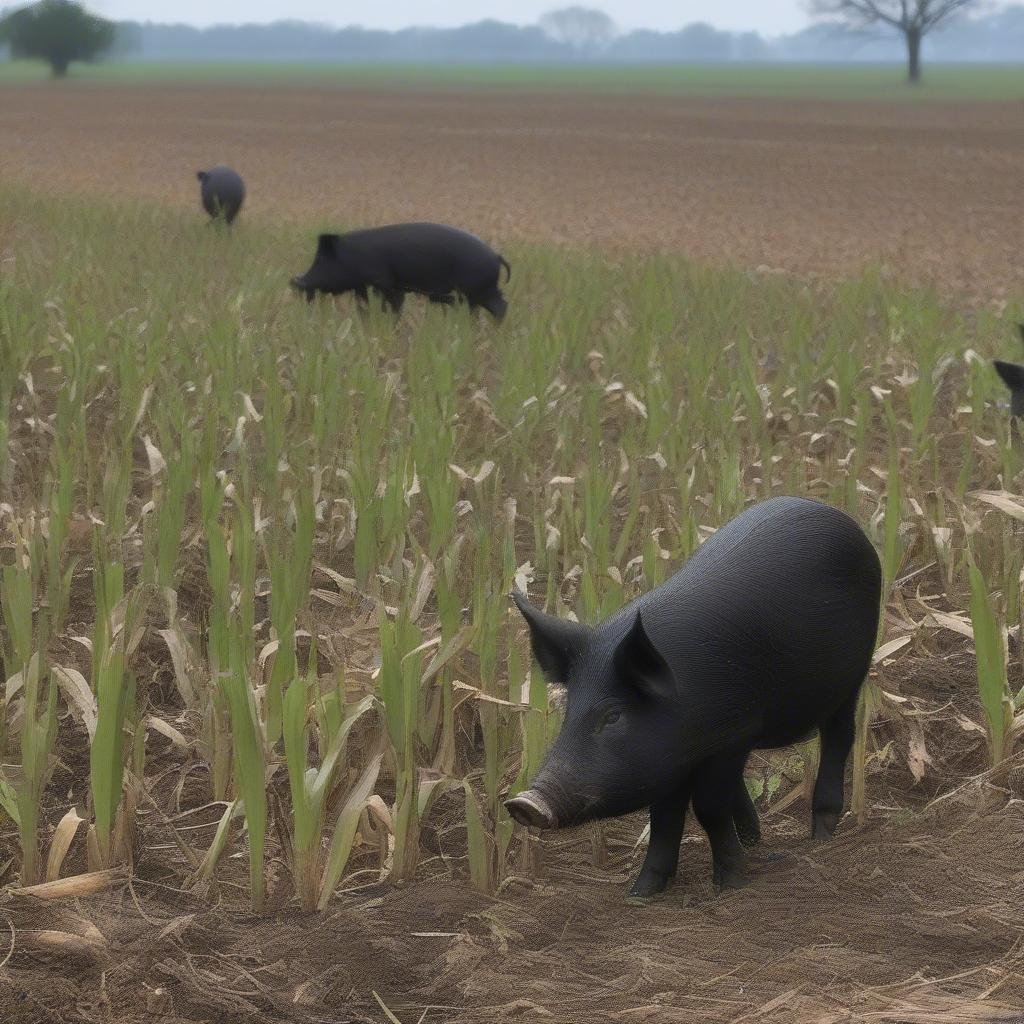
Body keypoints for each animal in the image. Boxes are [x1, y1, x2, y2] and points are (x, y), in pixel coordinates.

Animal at [290, 223, 510, 321]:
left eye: (321, 260)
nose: (296, 281)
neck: (350, 257)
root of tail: (495, 255)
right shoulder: (364, 285)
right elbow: (364, 305)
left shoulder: (383, 281)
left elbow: (392, 303)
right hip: (477, 292)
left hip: (478, 289)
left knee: (501, 306)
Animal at [506, 496, 881, 899]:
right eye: (568, 709)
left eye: (614, 715)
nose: (523, 802)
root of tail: (837, 515)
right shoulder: (669, 758)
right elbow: (664, 819)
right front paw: (640, 894)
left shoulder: (735, 734)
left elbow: (708, 809)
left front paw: (730, 885)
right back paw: (753, 839)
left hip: (853, 675)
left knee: (840, 737)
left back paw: (822, 834)